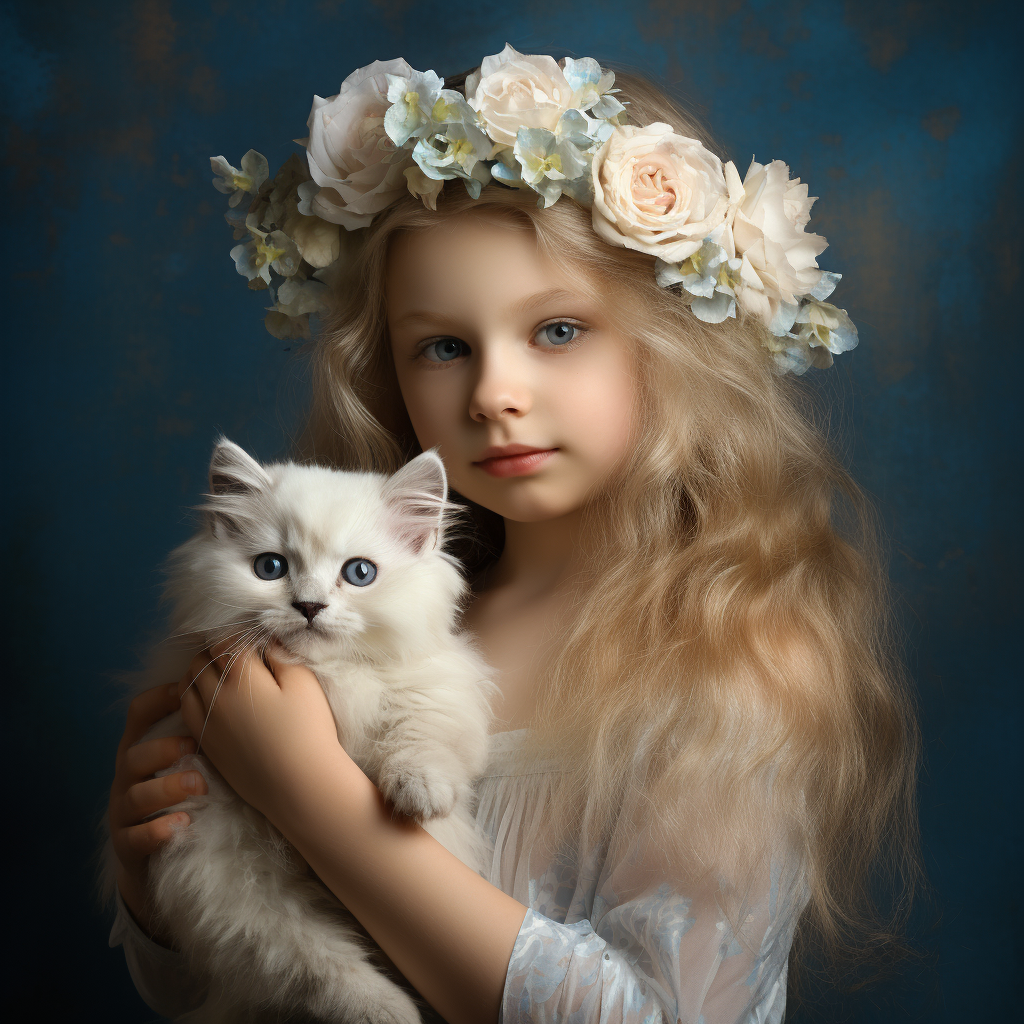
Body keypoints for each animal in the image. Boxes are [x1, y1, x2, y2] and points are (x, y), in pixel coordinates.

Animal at [114, 442, 493, 1024]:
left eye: (359, 573)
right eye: (270, 567)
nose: (310, 606)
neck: (325, 677)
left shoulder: (436, 692)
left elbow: (421, 740)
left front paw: (420, 796)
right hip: (234, 887)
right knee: (313, 967)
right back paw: (386, 1011)